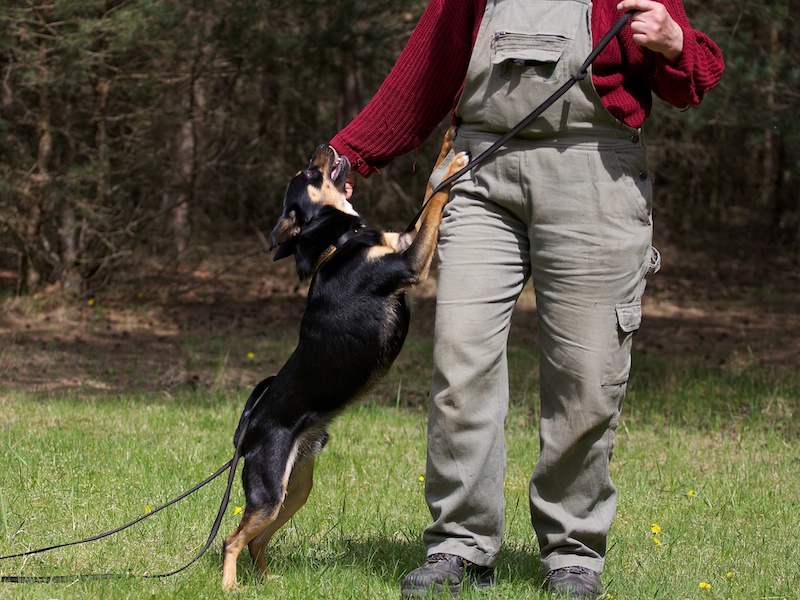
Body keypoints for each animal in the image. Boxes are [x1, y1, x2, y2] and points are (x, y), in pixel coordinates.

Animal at [221, 128, 468, 590]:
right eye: (307, 173)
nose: (323, 145)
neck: (336, 245)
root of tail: (250, 426)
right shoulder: (409, 263)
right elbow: (436, 201)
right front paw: (456, 167)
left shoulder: (403, 244)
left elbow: (428, 189)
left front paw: (446, 148)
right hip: (268, 490)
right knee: (231, 540)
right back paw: (230, 587)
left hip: (295, 491)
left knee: (256, 541)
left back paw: (268, 580)